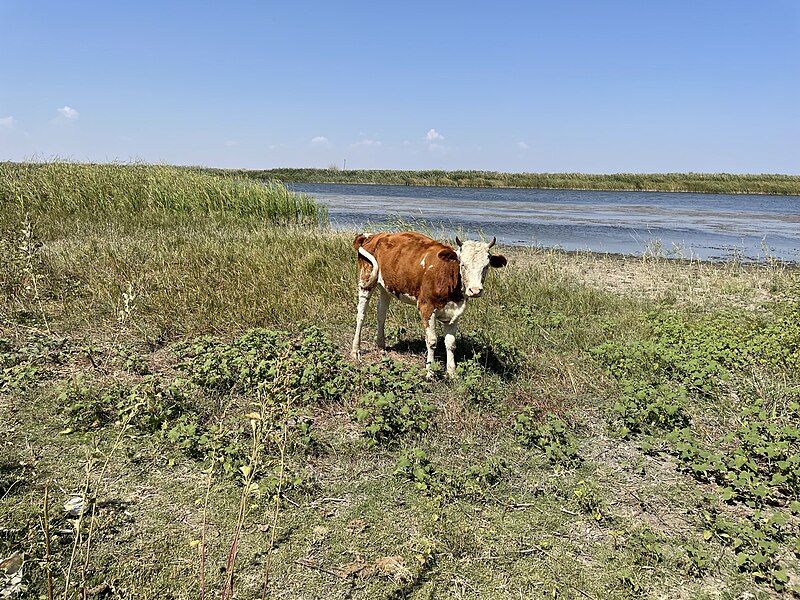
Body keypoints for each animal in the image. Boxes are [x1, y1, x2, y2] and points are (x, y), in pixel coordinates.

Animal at [350, 232, 506, 378]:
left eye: (486, 267)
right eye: (463, 265)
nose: (475, 290)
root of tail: (374, 235)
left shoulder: (455, 312)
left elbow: (451, 343)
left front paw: (452, 372)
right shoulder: (426, 308)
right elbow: (432, 341)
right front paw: (430, 371)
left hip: (386, 287)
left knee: (381, 314)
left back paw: (381, 345)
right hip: (366, 280)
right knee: (361, 316)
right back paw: (355, 350)